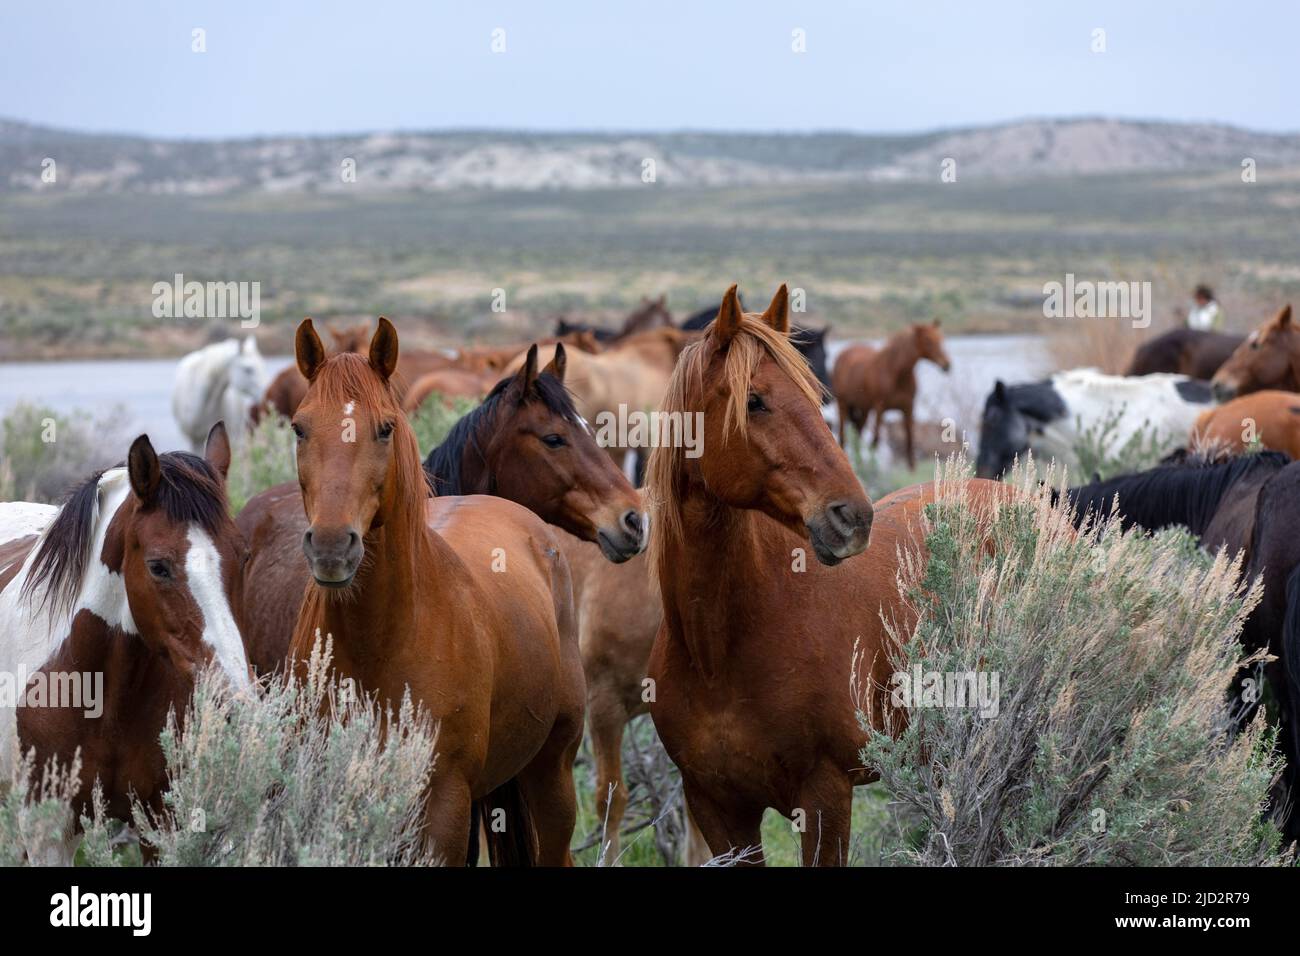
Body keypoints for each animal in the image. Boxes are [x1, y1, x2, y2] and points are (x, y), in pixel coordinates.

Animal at [285, 317, 587, 865]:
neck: (378, 643)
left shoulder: (443, 805)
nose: (332, 546)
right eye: (300, 427)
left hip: (552, 776)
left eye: (385, 427)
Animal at [831, 321, 951, 469]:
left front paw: (911, 468)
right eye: (928, 340)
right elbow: (875, 440)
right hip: (843, 404)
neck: (896, 373)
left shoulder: (908, 407)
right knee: (843, 437)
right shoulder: (880, 408)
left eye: (941, 339)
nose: (947, 364)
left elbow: (910, 439)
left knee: (858, 433)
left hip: (864, 409)